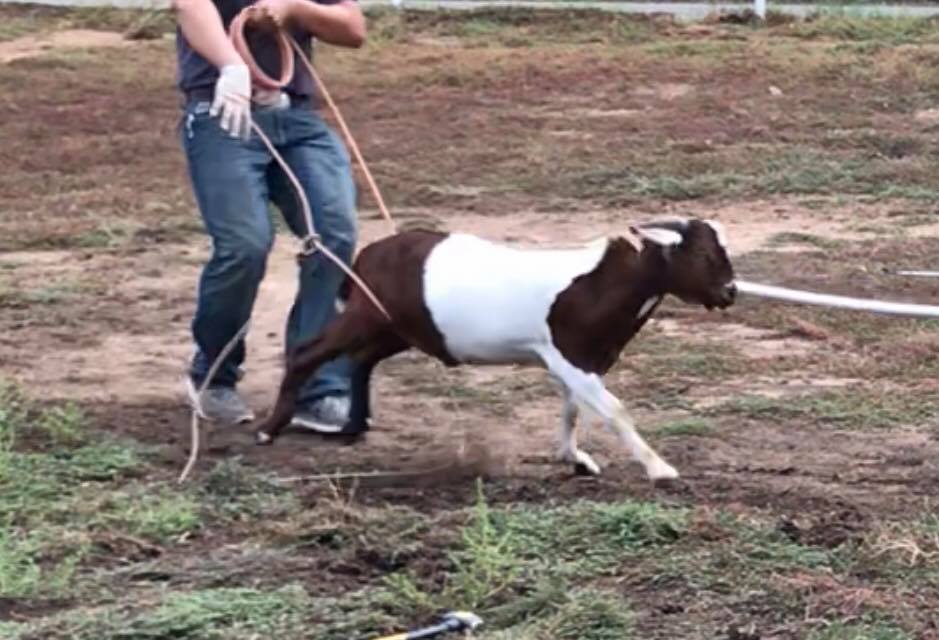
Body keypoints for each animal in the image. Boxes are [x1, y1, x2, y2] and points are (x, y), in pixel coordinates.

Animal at [255, 218, 736, 481]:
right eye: (703, 255)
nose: (729, 292)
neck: (601, 282)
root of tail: (367, 256)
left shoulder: (573, 362)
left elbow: (572, 409)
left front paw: (575, 459)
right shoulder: (571, 358)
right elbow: (614, 411)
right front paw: (660, 468)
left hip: (397, 327)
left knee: (361, 361)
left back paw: (354, 426)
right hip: (366, 315)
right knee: (308, 352)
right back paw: (268, 430)